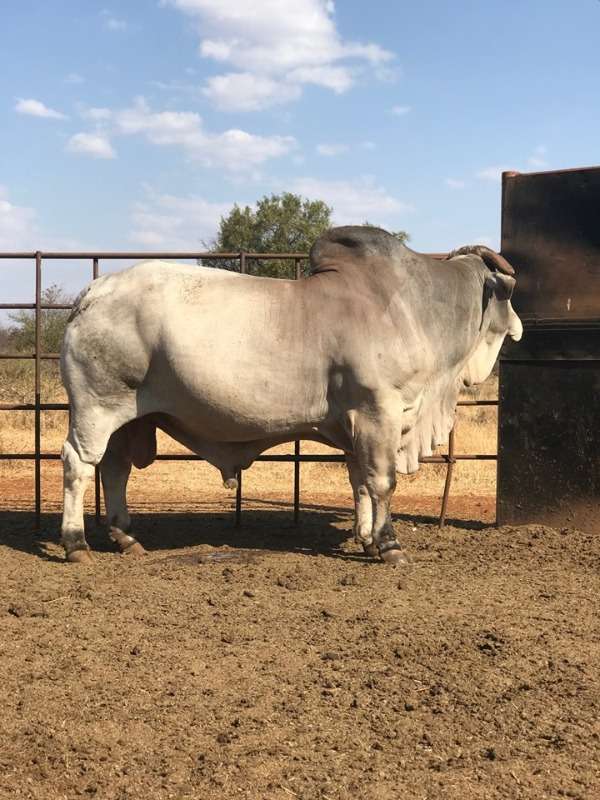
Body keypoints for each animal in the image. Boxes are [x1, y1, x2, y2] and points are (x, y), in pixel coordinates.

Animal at [59, 226, 522, 565]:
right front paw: (389, 545)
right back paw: (76, 543)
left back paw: (126, 537)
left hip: (129, 417)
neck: (418, 307)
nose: (518, 328)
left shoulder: (356, 425)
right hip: (97, 407)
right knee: (78, 464)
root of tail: (93, 292)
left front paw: (366, 538)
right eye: (509, 294)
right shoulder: (379, 412)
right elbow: (382, 481)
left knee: (114, 468)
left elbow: (359, 482)